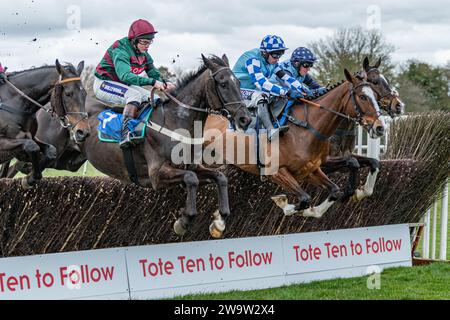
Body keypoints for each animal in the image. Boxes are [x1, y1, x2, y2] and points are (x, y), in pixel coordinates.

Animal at [0, 60, 90, 188]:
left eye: (85, 94)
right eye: (68, 94)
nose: (83, 132)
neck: (13, 102)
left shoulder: (33, 137)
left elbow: (50, 151)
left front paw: (30, 178)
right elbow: (32, 146)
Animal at [322, 56, 406, 201]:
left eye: (387, 80)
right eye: (374, 81)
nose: (399, 105)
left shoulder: (347, 155)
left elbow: (373, 162)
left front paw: (361, 191)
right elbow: (352, 163)